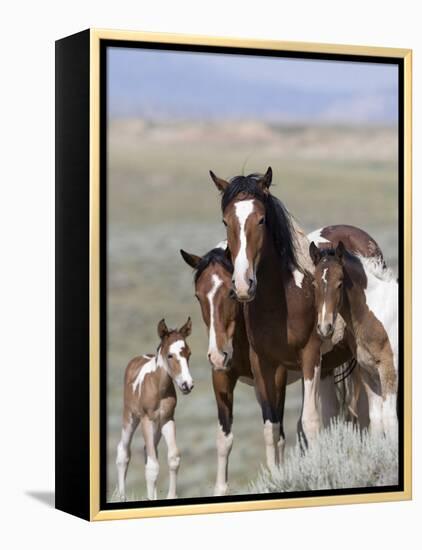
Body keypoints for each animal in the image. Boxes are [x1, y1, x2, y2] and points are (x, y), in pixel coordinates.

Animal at [116, 316, 194, 502]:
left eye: (189, 353)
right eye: (170, 355)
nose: (187, 385)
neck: (159, 388)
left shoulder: (167, 419)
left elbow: (173, 458)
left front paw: (170, 496)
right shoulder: (146, 419)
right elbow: (152, 467)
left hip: (156, 427)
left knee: (148, 451)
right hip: (130, 417)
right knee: (123, 451)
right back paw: (122, 497)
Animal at [209, 169, 322, 474]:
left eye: (261, 219)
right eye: (225, 221)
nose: (242, 285)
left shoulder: (311, 355)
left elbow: (310, 422)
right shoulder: (265, 365)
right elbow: (272, 430)